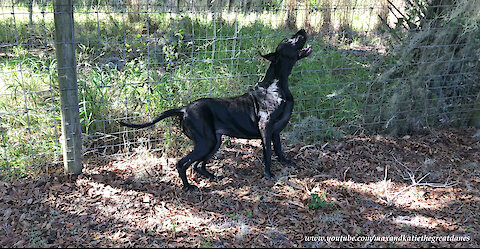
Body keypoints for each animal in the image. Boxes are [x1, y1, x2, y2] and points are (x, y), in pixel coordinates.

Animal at [122, 28, 314, 191]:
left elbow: (279, 149)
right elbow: (268, 154)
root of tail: (184, 109)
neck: (277, 84)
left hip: (214, 142)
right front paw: (268, 174)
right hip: (205, 142)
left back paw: (212, 176)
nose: (303, 30)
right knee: (183, 163)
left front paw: (286, 162)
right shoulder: (265, 128)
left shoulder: (275, 131)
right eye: (289, 40)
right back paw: (188, 186)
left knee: (198, 165)